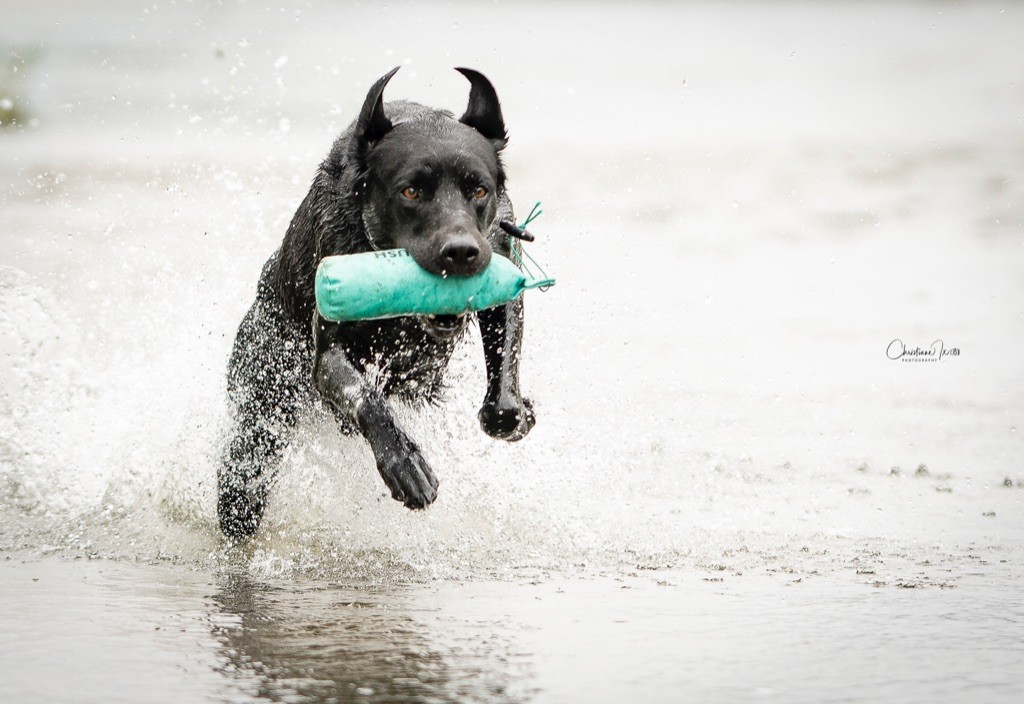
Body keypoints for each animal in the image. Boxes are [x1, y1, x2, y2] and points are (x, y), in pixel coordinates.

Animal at [218, 67, 536, 540]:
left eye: (478, 190)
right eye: (410, 191)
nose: (461, 251)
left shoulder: (502, 270)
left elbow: (504, 370)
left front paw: (514, 411)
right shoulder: (328, 353)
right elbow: (365, 396)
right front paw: (405, 464)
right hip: (259, 412)